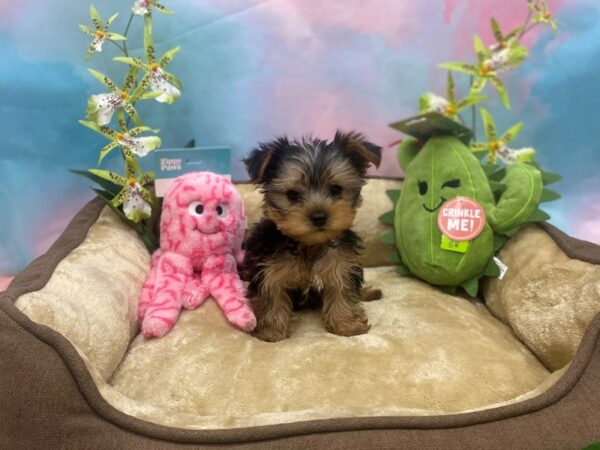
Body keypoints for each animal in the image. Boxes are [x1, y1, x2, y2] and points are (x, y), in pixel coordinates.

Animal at [241, 132, 382, 342]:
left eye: (336, 190)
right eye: (292, 195)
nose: (319, 216)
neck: (309, 244)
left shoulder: (342, 264)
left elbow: (342, 291)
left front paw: (346, 325)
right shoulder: (269, 269)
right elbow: (272, 295)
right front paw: (271, 331)